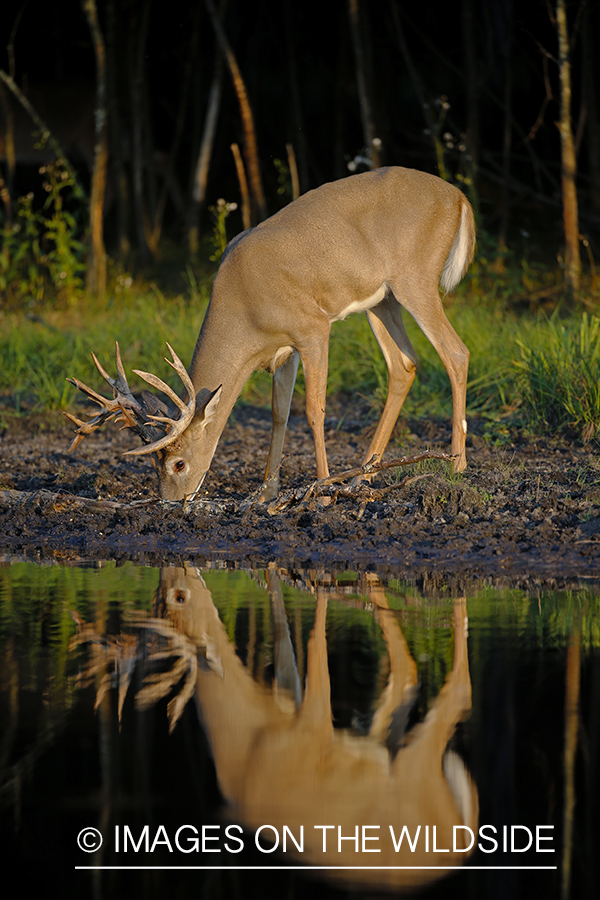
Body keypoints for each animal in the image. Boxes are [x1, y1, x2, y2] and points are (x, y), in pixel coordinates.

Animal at [65, 168, 476, 502]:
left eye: (178, 463)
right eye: (154, 463)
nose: (169, 502)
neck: (246, 309)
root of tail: (459, 197)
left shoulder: (313, 327)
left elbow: (313, 410)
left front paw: (321, 490)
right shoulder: (283, 349)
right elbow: (280, 413)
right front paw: (267, 491)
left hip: (415, 278)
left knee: (455, 353)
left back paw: (456, 465)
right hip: (382, 300)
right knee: (404, 365)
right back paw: (363, 476)